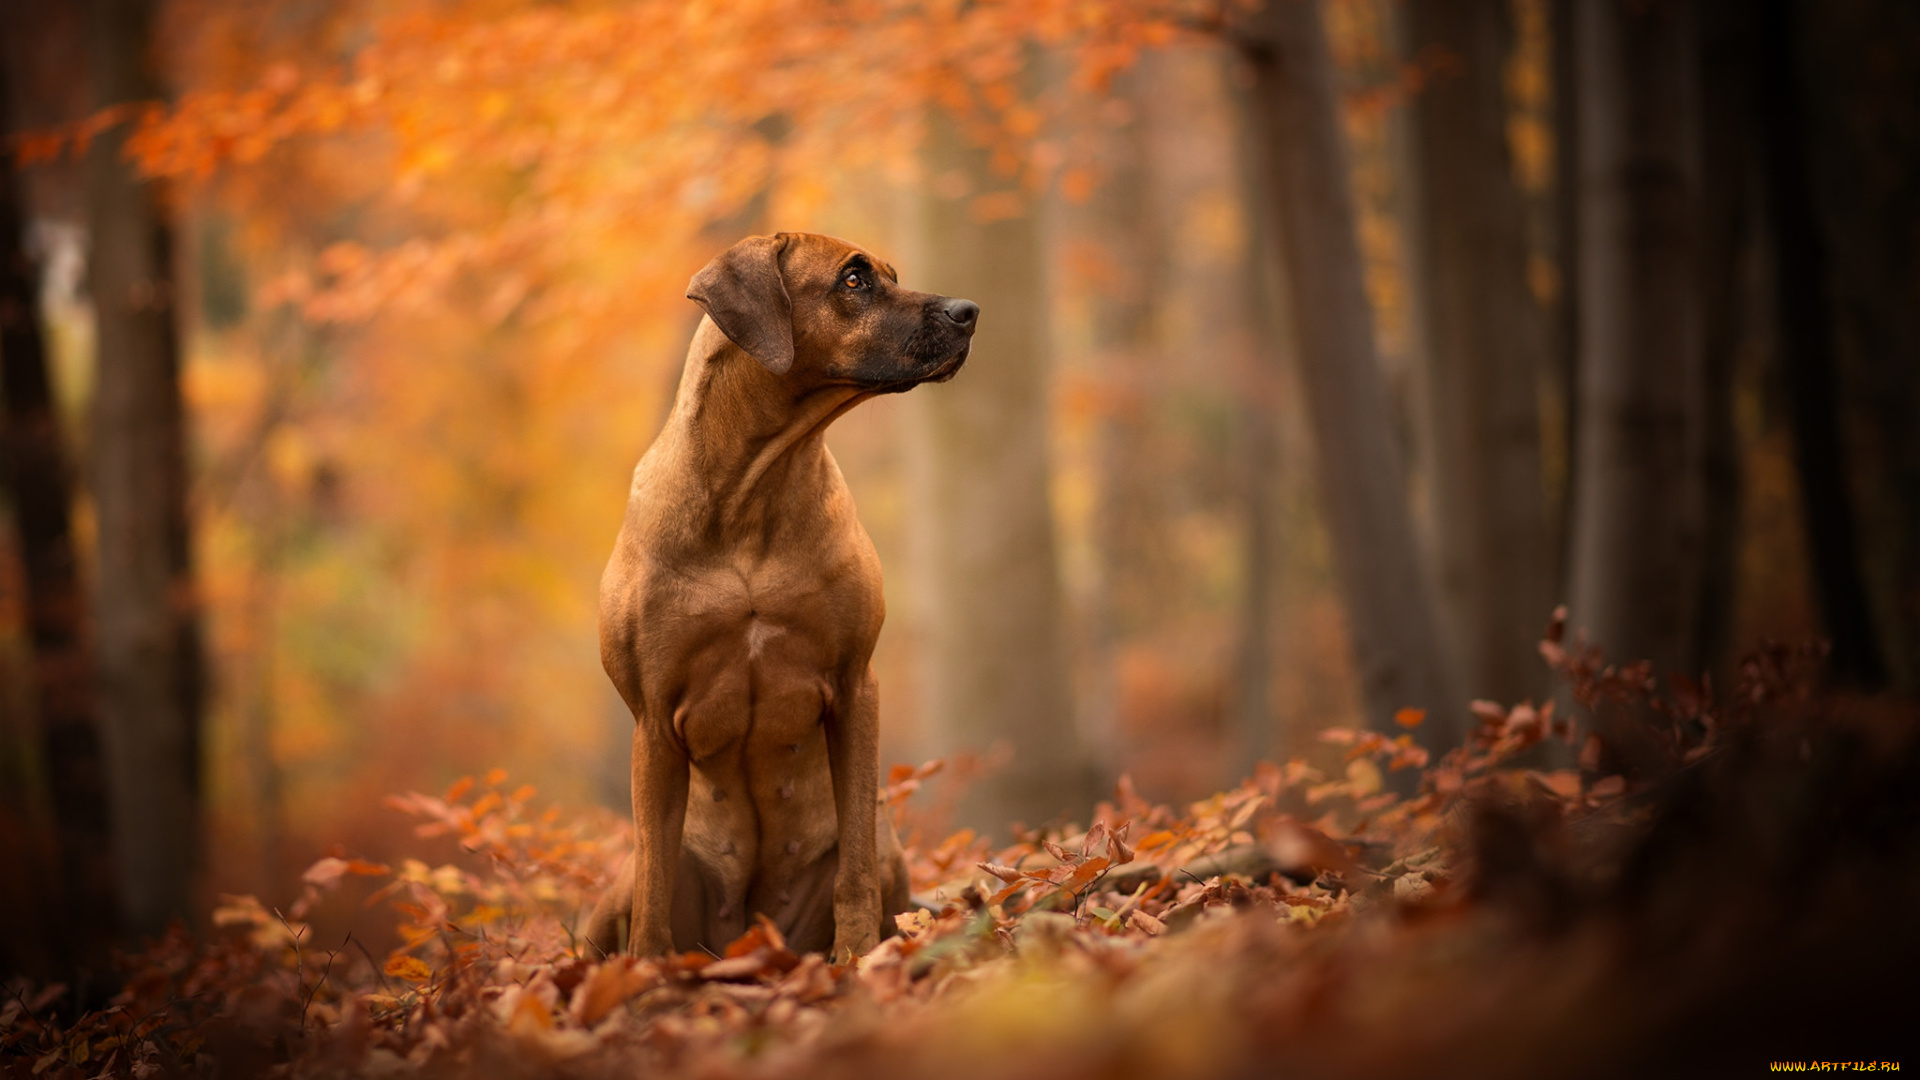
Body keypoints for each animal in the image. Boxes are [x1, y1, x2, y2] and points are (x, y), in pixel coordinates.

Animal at [583, 231, 975, 953]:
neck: (753, 488)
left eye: (890, 274)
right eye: (854, 280)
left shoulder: (854, 687)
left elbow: (854, 866)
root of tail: (749, 933)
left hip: (884, 850)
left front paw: (858, 957)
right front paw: (644, 971)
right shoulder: (652, 721)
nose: (971, 312)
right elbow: (652, 890)